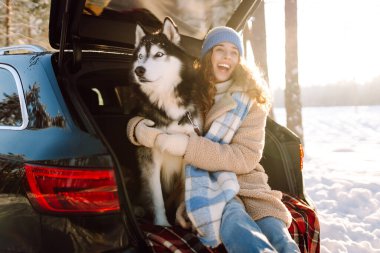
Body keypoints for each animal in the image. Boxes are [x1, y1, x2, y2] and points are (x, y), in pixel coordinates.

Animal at [131, 17, 202, 226]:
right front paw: (162, 224)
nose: (139, 70)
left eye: (159, 54)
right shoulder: (150, 159)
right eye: (140, 56)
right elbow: (157, 198)